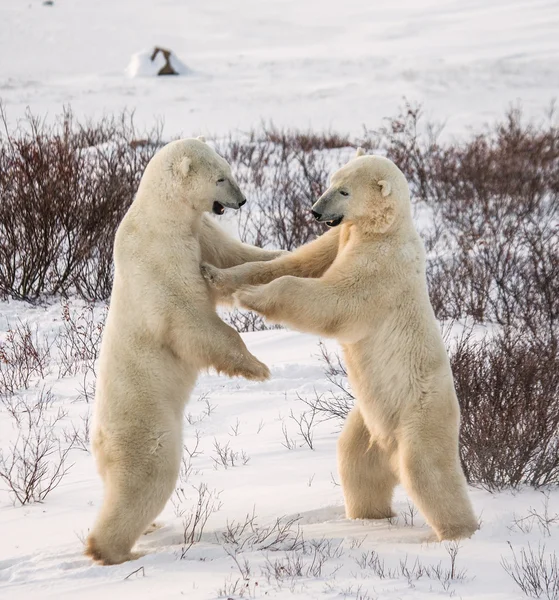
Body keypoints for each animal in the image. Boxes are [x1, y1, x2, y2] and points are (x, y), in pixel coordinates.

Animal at [87, 138, 284, 564]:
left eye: (230, 170)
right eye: (221, 177)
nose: (242, 200)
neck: (163, 216)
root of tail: (99, 438)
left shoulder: (202, 232)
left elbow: (235, 256)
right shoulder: (161, 257)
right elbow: (190, 318)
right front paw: (256, 366)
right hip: (145, 426)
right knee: (146, 478)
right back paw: (113, 551)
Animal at [203, 151, 480, 544]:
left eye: (345, 191)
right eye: (331, 182)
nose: (315, 211)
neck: (384, 228)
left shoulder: (380, 266)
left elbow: (333, 299)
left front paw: (250, 296)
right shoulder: (340, 237)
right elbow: (294, 262)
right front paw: (217, 274)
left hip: (419, 414)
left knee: (427, 470)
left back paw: (458, 534)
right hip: (368, 420)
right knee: (356, 462)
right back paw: (368, 516)